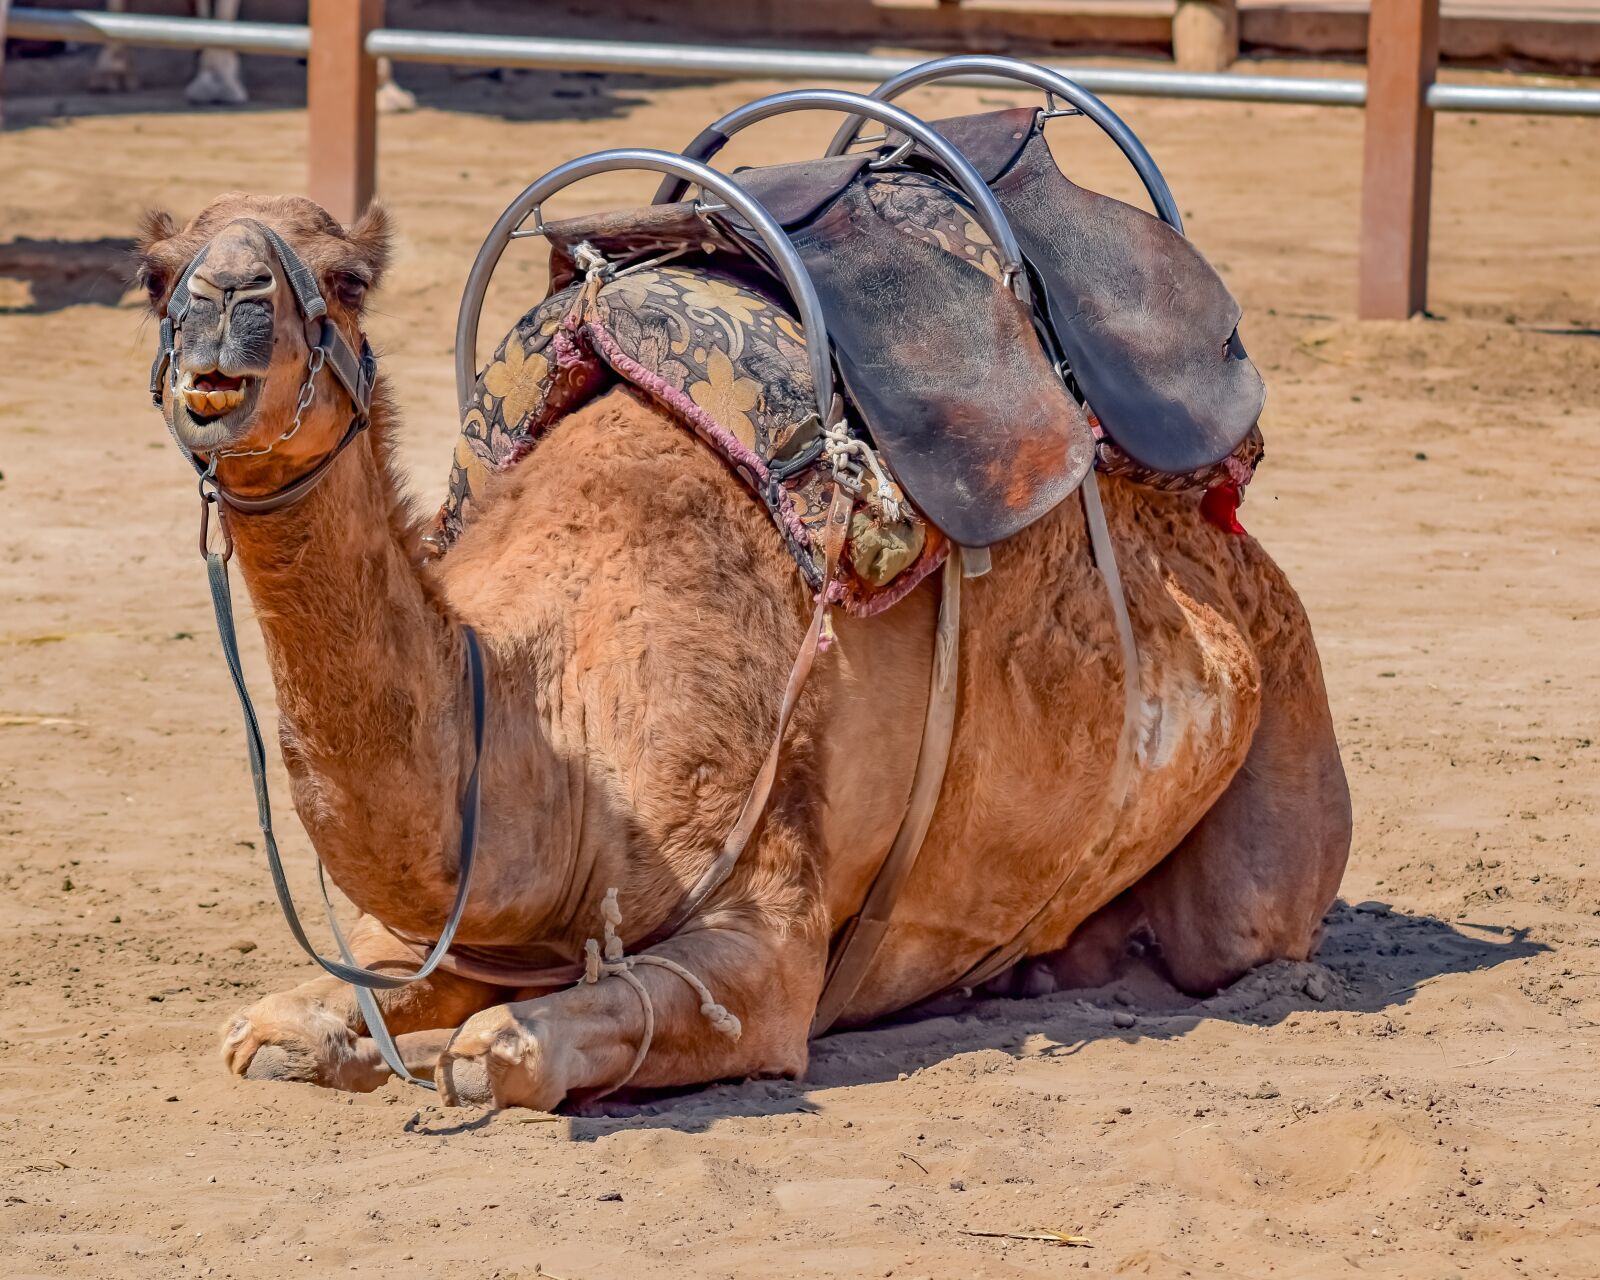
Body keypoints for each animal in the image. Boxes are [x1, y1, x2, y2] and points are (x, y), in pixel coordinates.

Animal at [138, 192, 1351, 1110]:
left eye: (343, 278)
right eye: (156, 274)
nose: (226, 301)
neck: (547, 698)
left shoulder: (760, 937)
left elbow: (509, 1052)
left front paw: (460, 1054)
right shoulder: (435, 928)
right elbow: (283, 1020)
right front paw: (324, 1035)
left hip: (1282, 714)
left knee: (1240, 925)